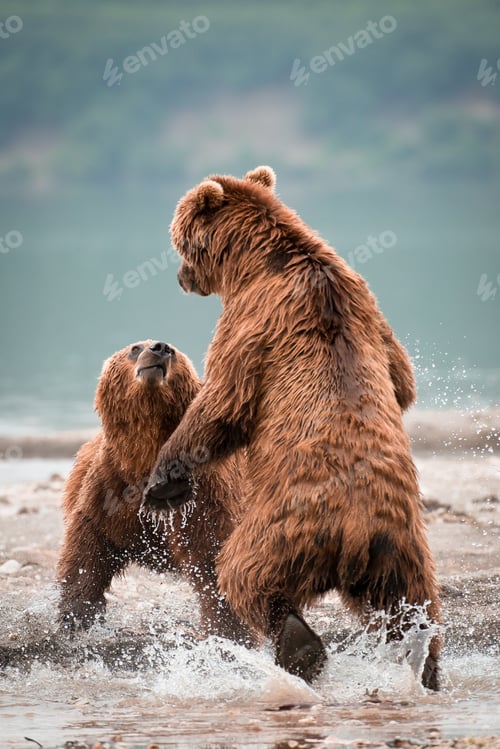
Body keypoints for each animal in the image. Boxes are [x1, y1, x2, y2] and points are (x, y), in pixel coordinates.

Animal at [57, 339, 251, 644]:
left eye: (174, 352)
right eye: (135, 348)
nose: (159, 348)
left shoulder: (206, 496)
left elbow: (212, 555)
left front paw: (228, 635)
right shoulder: (112, 485)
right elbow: (87, 548)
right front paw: (74, 617)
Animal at [142, 166, 442, 689]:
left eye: (179, 240)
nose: (180, 277)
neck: (256, 262)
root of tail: (356, 528)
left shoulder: (251, 325)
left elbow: (223, 403)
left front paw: (163, 482)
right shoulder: (367, 307)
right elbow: (402, 380)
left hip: (284, 526)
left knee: (246, 574)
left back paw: (300, 647)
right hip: (401, 551)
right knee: (413, 608)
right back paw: (424, 665)